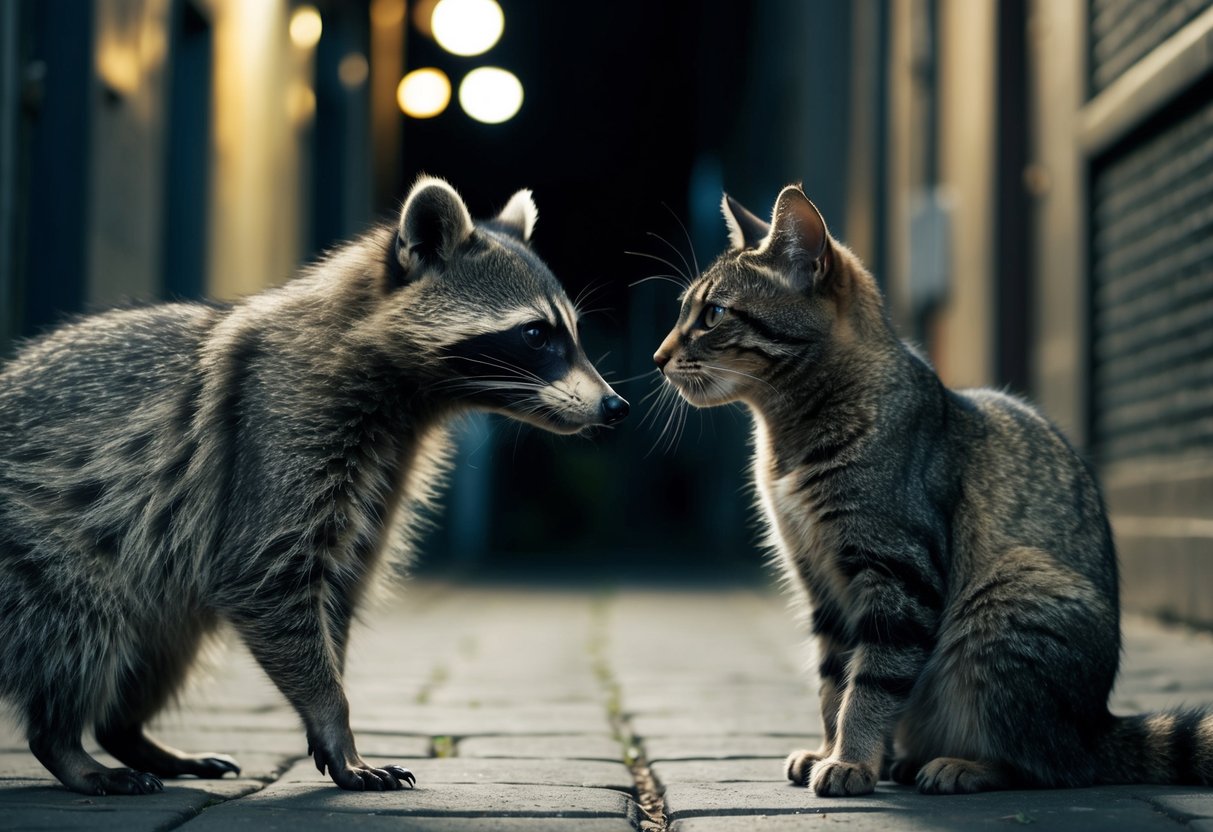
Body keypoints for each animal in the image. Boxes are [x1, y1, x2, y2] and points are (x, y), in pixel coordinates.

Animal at [0, 177, 628, 795]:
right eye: (536, 334)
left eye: (571, 333)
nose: (615, 406)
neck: (408, 396)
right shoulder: (278, 427)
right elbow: (262, 573)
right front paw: (333, 716)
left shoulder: (383, 473)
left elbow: (338, 590)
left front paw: (333, 718)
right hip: (44, 556)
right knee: (81, 628)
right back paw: (67, 744)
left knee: (163, 648)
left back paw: (128, 733)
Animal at [652, 183, 1212, 795]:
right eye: (684, 312)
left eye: (712, 314)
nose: (657, 357)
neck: (786, 437)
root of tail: (1097, 726)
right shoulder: (820, 583)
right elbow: (832, 681)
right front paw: (831, 750)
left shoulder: (897, 572)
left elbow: (868, 686)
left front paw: (849, 760)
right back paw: (906, 761)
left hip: (1010, 597)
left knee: (1045, 763)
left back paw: (960, 766)